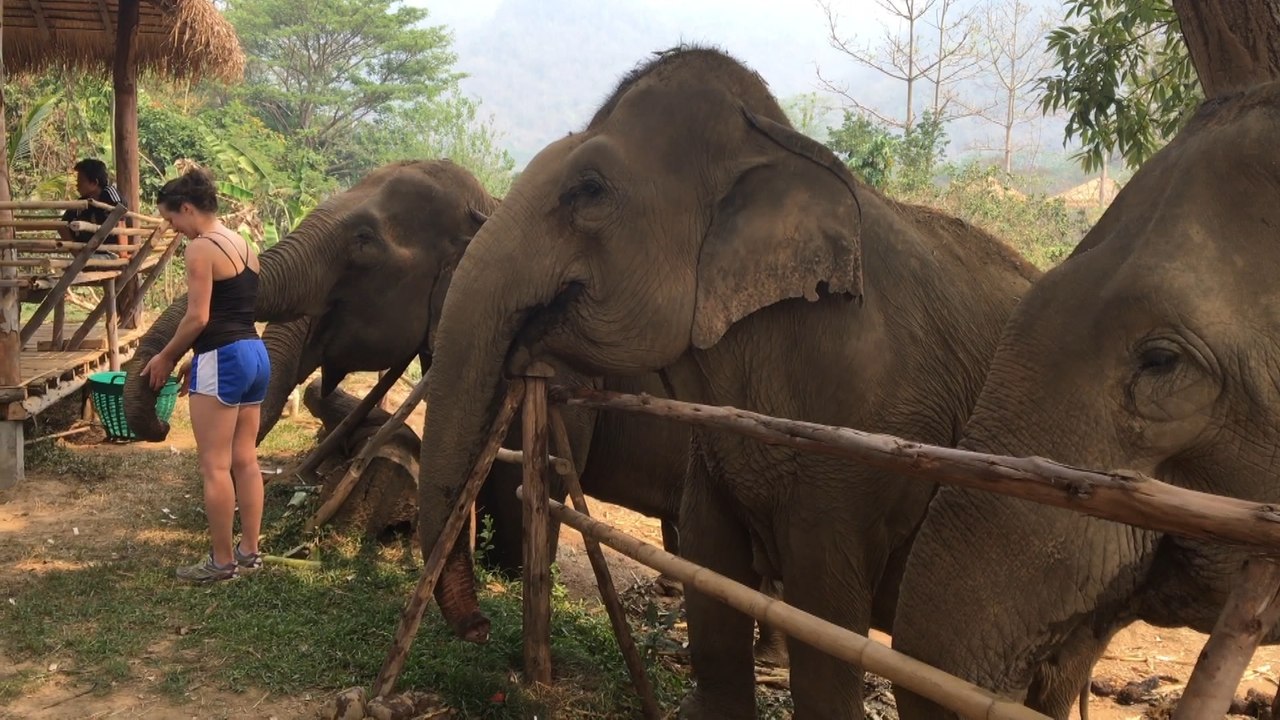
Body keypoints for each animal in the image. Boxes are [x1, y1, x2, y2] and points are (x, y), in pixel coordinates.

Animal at [415, 45, 1040, 719]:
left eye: (589, 190)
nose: (479, 627)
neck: (775, 144)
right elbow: (711, 564)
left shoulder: (866, 447)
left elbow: (825, 619)